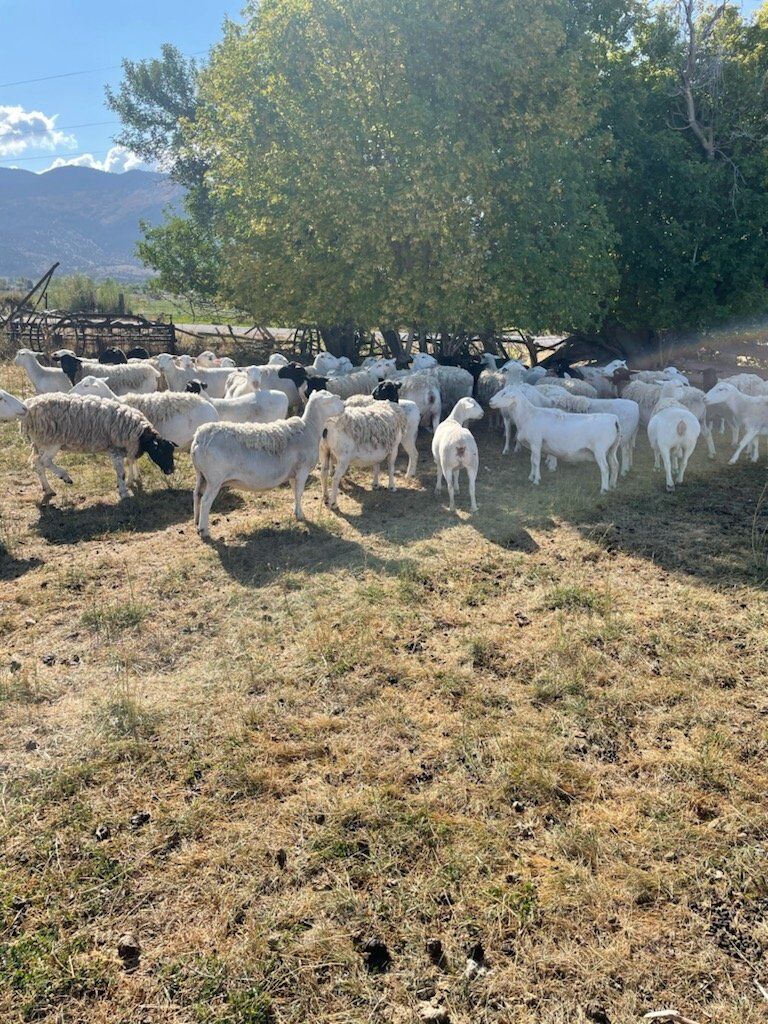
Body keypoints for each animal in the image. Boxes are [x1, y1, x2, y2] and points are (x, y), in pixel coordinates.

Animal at [0, 389, 175, 501]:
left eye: (171, 451)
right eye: (162, 452)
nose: (171, 470)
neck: (140, 434)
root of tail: (29, 408)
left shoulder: (125, 447)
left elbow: (130, 462)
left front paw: (132, 481)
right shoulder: (115, 448)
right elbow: (121, 472)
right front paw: (124, 492)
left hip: (41, 442)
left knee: (38, 464)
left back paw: (48, 489)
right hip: (52, 440)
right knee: (44, 462)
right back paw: (65, 477)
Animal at [190, 389, 345, 537]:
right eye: (332, 400)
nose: (344, 406)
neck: (310, 429)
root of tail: (200, 438)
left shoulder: (293, 473)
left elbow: (295, 493)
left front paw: (296, 511)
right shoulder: (303, 470)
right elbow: (300, 493)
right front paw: (301, 515)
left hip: (201, 475)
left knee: (197, 494)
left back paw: (197, 522)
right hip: (214, 478)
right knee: (205, 501)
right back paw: (204, 530)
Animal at [490, 385, 620, 492]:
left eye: (504, 393)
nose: (490, 401)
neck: (528, 415)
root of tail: (614, 419)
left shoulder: (536, 442)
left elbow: (536, 461)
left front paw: (536, 480)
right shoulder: (533, 444)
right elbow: (532, 460)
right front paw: (531, 476)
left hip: (600, 450)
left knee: (605, 468)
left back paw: (604, 489)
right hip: (612, 448)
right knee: (615, 465)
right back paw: (613, 485)